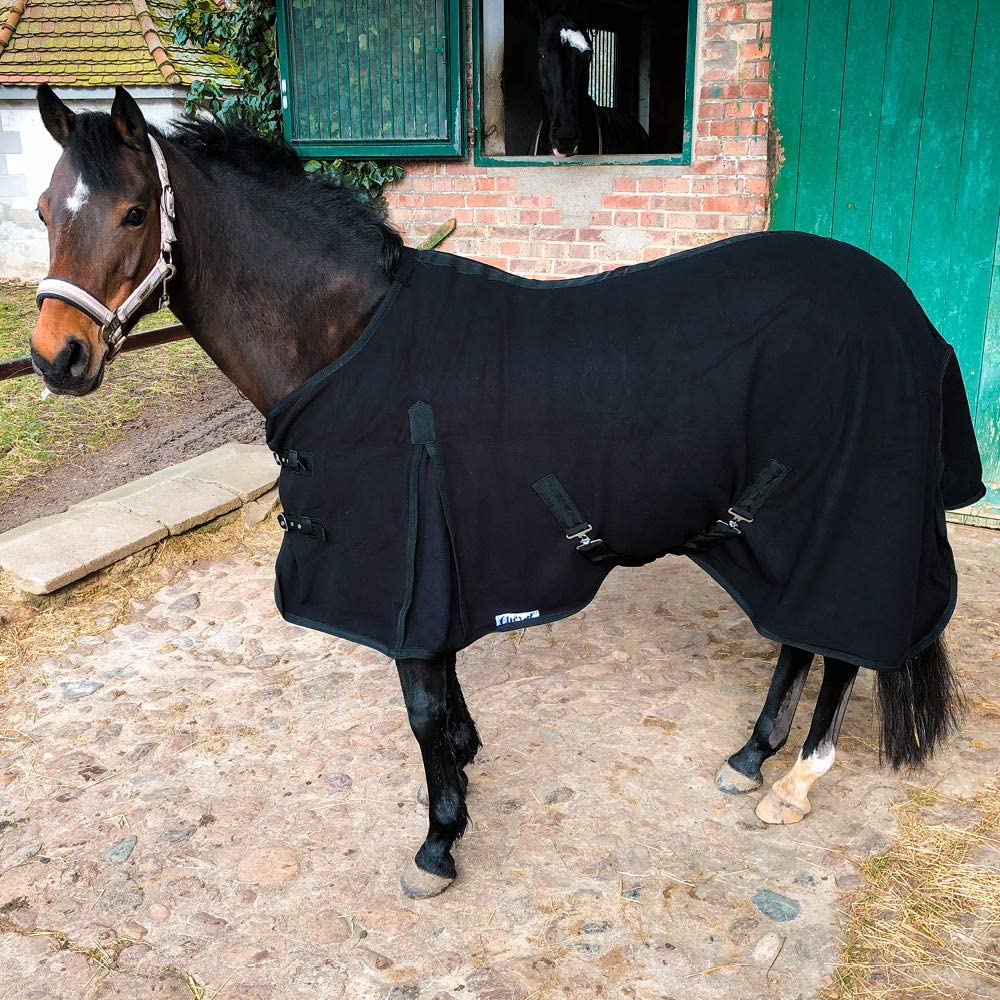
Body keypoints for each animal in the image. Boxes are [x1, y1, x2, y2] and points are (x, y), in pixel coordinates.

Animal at [30, 85, 983, 900]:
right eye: (43, 210)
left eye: (134, 212)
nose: (55, 358)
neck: (350, 341)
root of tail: (901, 307)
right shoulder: (436, 568)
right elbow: (445, 687)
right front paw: (467, 756)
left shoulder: (407, 567)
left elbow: (419, 707)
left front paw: (439, 841)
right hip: (769, 525)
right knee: (798, 636)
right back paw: (751, 757)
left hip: (843, 516)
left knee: (842, 641)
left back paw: (795, 783)